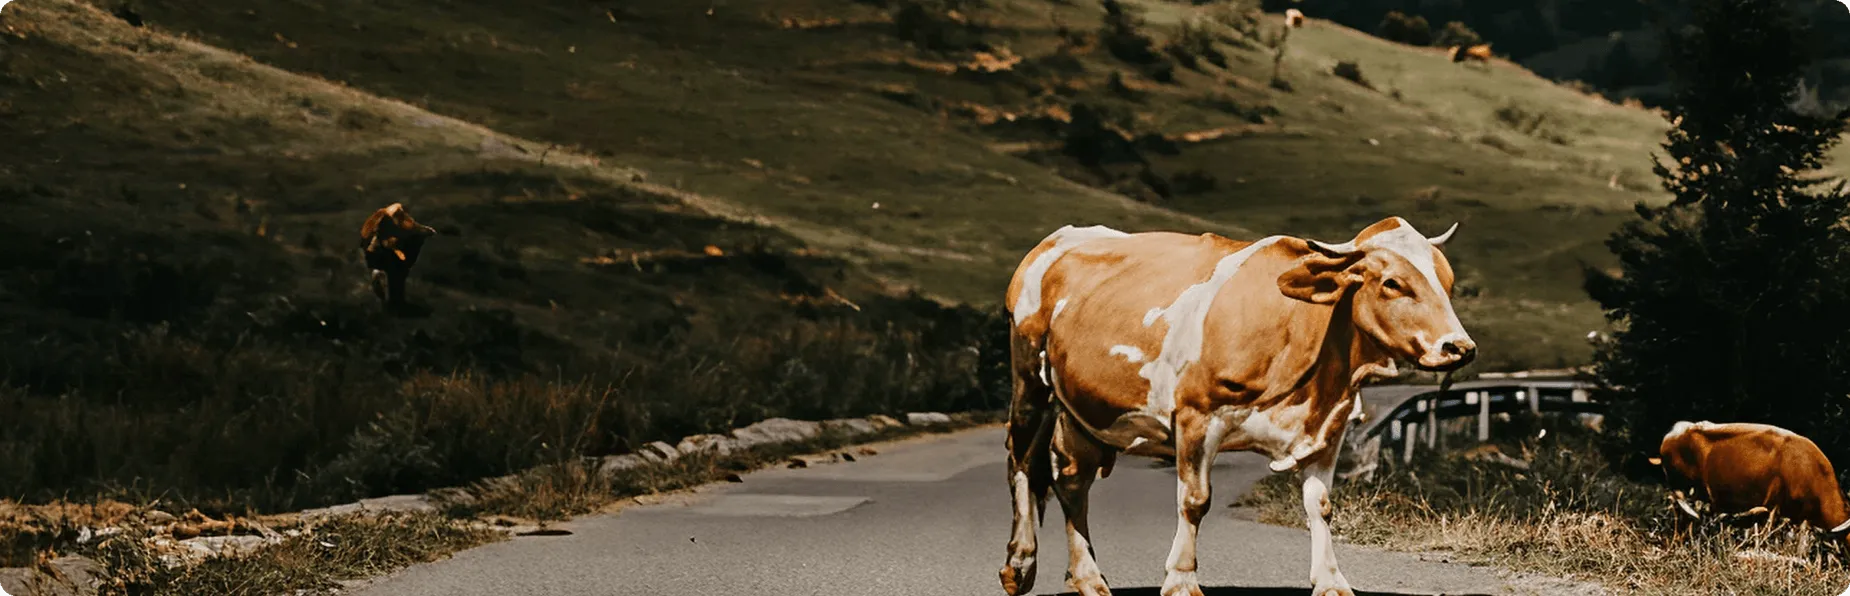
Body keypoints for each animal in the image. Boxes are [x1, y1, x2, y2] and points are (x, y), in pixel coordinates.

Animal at [999, 216, 1476, 596]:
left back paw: (1089, 579)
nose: (1460, 348)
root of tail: (1060, 238)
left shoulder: (1329, 425)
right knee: (1021, 463)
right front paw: (1181, 580)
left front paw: (1331, 581)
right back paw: (1020, 566)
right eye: (1392, 283)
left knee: (1071, 480)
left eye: (1449, 283)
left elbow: (1320, 505)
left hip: (1081, 410)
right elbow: (1194, 500)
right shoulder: (1196, 415)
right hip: (1030, 384)